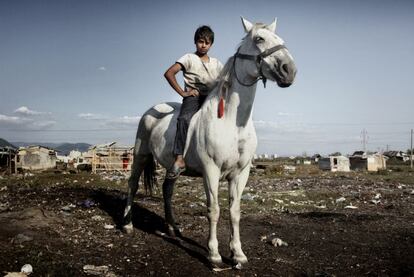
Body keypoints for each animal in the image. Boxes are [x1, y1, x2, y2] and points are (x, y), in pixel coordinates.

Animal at [123, 17, 298, 266]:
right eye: (259, 39)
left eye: (280, 39)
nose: (289, 70)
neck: (234, 123)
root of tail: (152, 110)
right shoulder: (211, 170)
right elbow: (213, 210)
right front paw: (214, 254)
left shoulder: (241, 173)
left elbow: (235, 211)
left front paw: (238, 253)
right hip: (140, 155)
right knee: (132, 184)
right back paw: (127, 224)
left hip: (170, 166)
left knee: (167, 189)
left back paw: (173, 229)